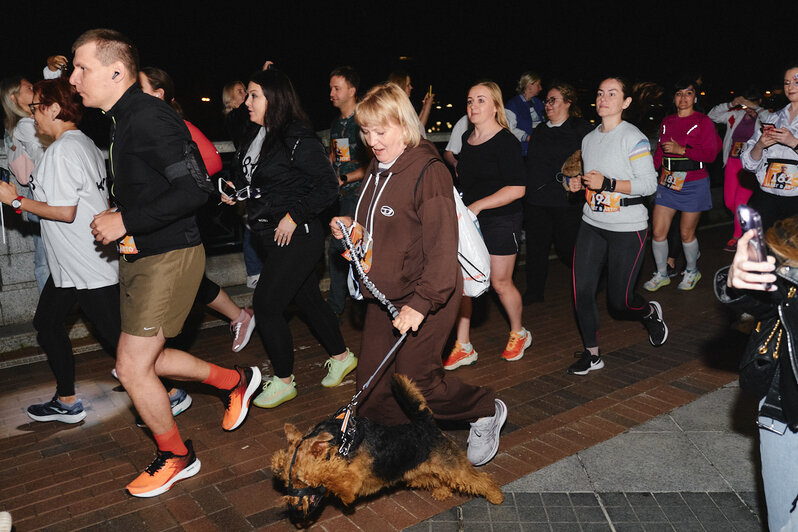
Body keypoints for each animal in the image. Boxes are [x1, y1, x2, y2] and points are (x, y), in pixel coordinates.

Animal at [272, 374, 504, 520]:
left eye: (301, 480)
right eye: (284, 481)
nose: (293, 510)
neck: (345, 442)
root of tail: (427, 424)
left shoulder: (352, 481)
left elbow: (335, 479)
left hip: (452, 467)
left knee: (481, 480)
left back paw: (496, 496)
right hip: (416, 472)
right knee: (440, 479)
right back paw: (442, 492)